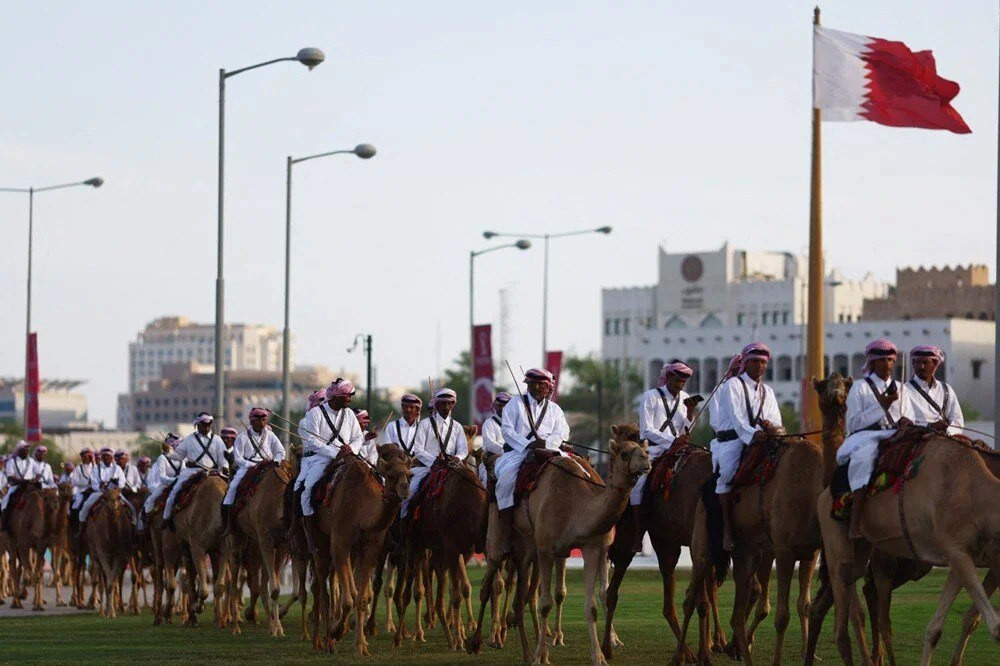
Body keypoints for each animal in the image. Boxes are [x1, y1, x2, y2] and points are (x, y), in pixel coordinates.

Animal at [175, 470, 233, 624]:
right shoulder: (197, 546)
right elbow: (204, 590)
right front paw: (198, 606)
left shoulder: (224, 548)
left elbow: (219, 586)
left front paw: (220, 620)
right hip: (184, 541)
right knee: (188, 575)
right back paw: (190, 618)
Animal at [230, 456, 296, 632]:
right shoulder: (265, 539)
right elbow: (273, 588)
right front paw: (276, 626)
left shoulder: (280, 545)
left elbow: (274, 588)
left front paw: (277, 627)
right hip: (239, 535)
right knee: (234, 571)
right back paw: (236, 624)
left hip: (257, 543)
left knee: (260, 582)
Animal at [310, 444, 408, 652]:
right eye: (391, 474)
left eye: (410, 474)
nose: (405, 489)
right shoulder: (339, 544)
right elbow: (348, 599)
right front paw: (337, 631)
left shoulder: (372, 549)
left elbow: (362, 597)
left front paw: (361, 644)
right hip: (318, 541)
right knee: (322, 588)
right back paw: (325, 642)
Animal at [808, 428, 1000, 660]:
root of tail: (823, 495)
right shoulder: (957, 549)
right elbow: (994, 627)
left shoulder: (963, 554)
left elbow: (936, 629)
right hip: (837, 534)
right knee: (848, 616)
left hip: (862, 548)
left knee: (849, 585)